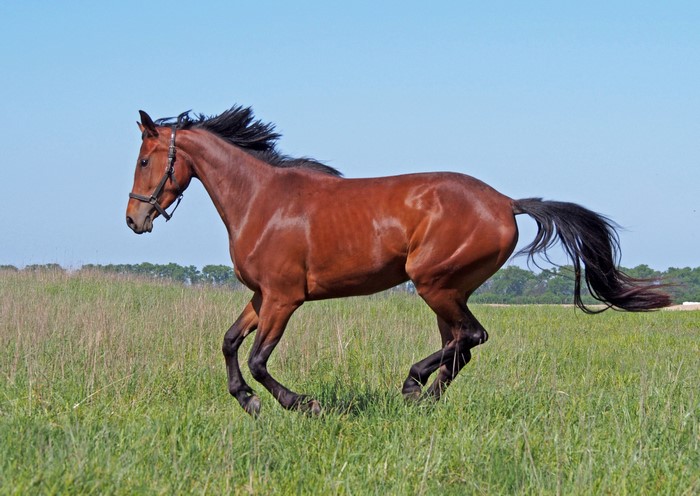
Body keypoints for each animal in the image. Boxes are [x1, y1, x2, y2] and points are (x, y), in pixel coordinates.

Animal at [126, 105, 671, 416]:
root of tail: (505, 202)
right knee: (460, 345)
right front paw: (248, 402)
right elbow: (229, 343)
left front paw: (302, 404)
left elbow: (259, 360)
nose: (134, 219)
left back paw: (413, 386)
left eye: (144, 160)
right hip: (447, 290)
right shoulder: (261, 297)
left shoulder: (283, 299)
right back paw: (424, 397)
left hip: (433, 282)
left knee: (470, 338)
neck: (262, 200)